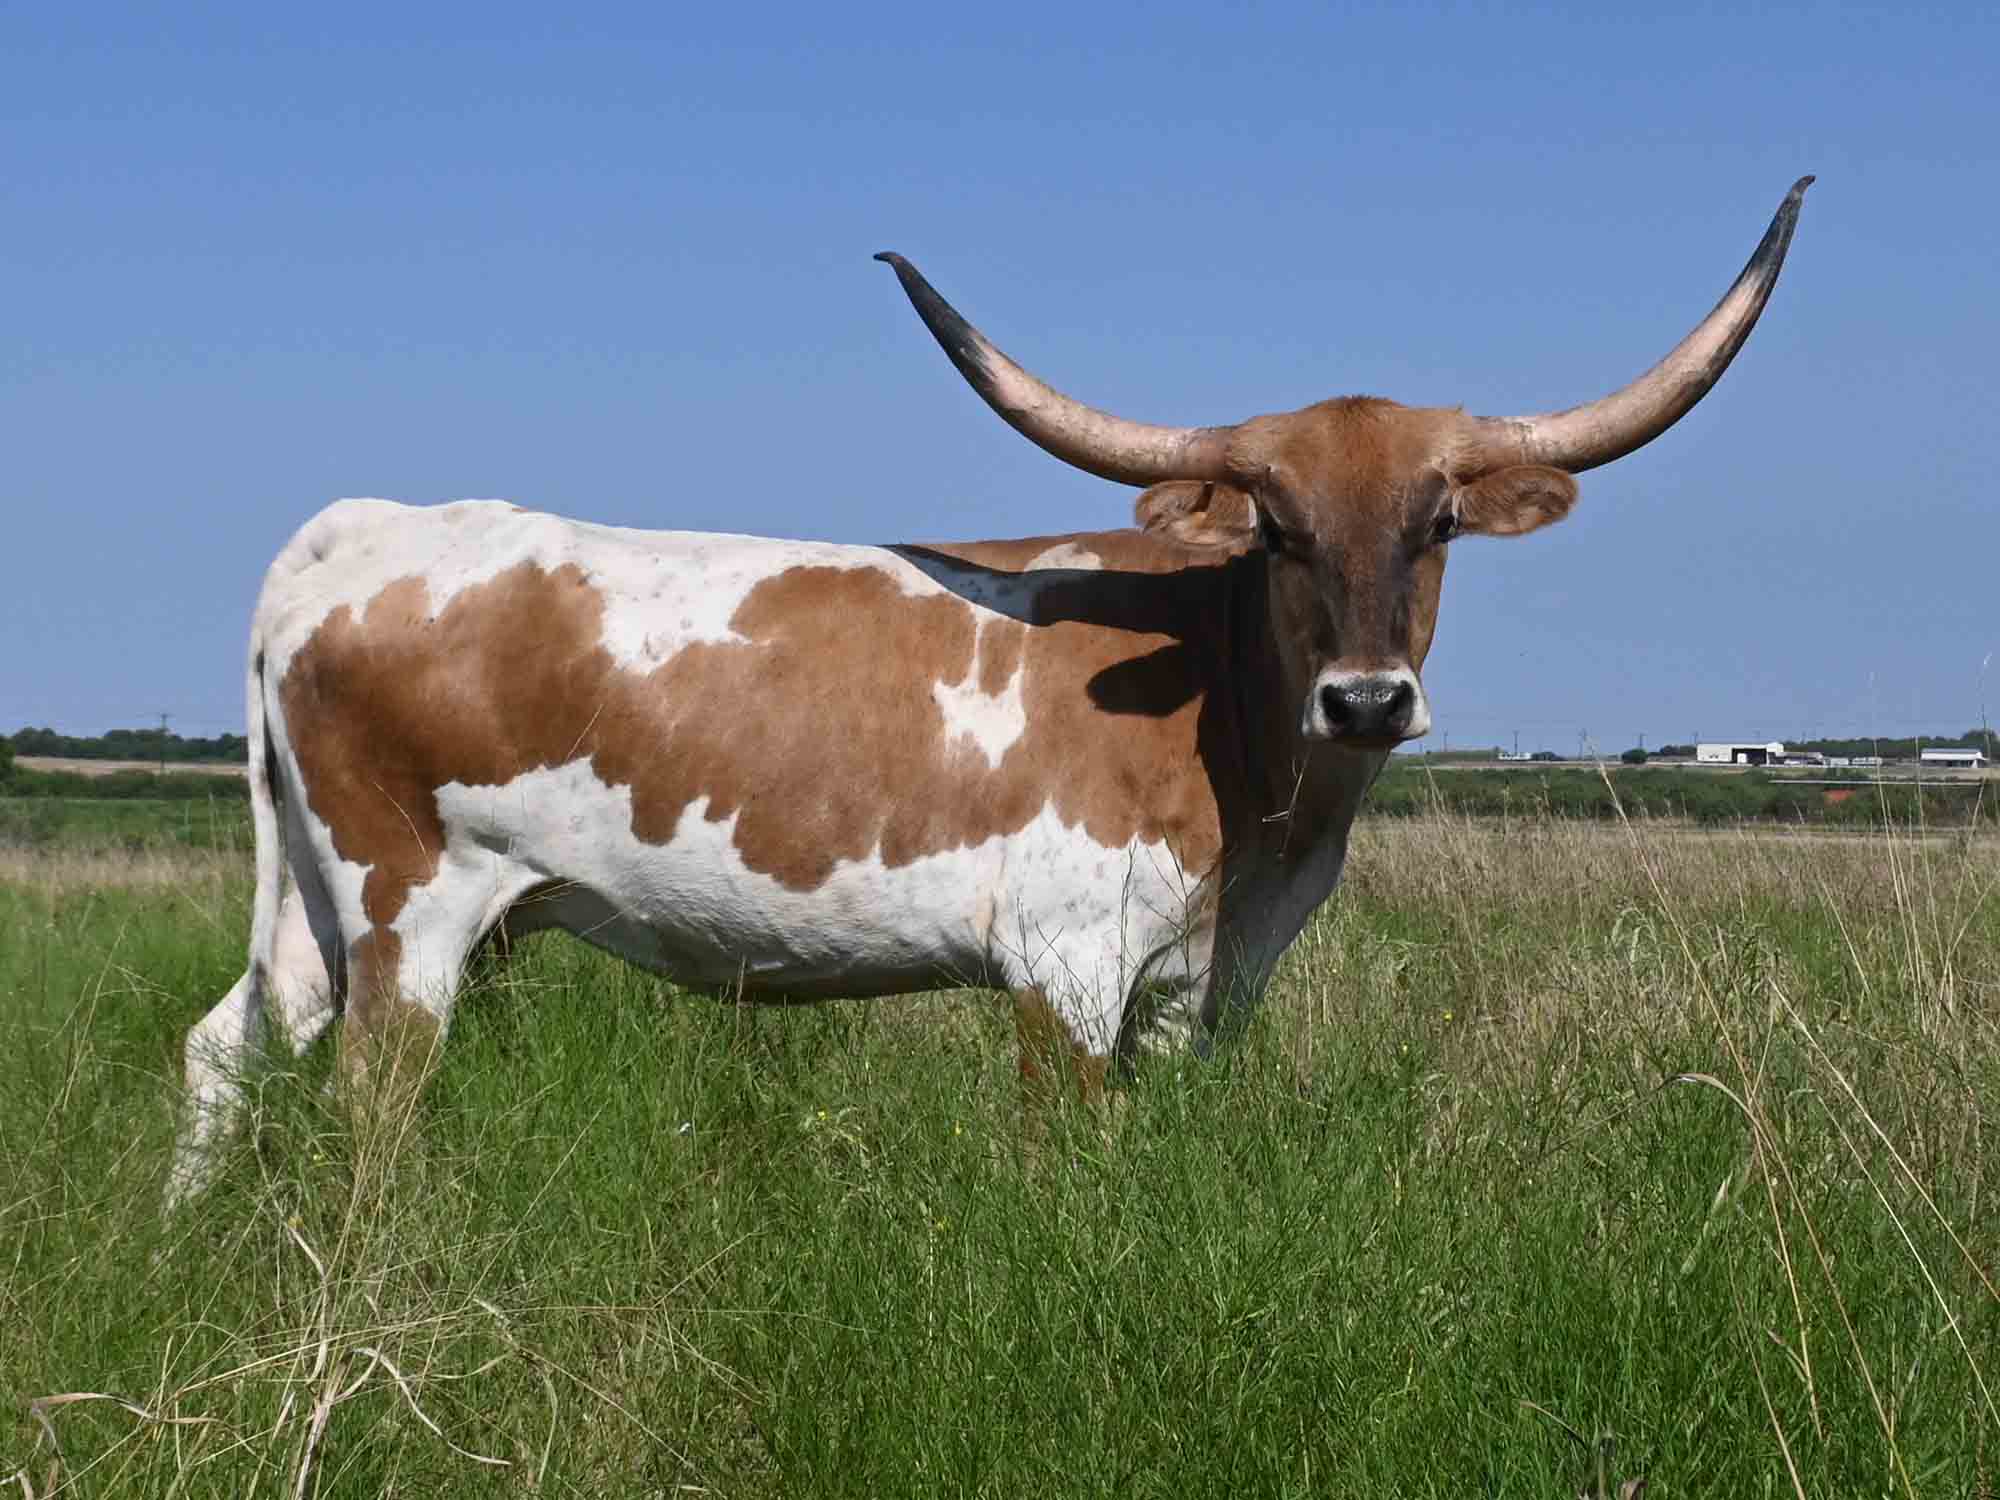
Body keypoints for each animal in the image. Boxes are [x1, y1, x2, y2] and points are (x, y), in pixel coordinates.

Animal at [169, 178, 1812, 1203]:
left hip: (327, 910)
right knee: (375, 1102)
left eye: (1437, 524)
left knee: (227, 1044)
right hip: (406, 909)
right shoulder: (1064, 967)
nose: (1363, 702)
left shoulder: (1196, 984)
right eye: (1278, 526)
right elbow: (1066, 1165)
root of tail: (363, 530)